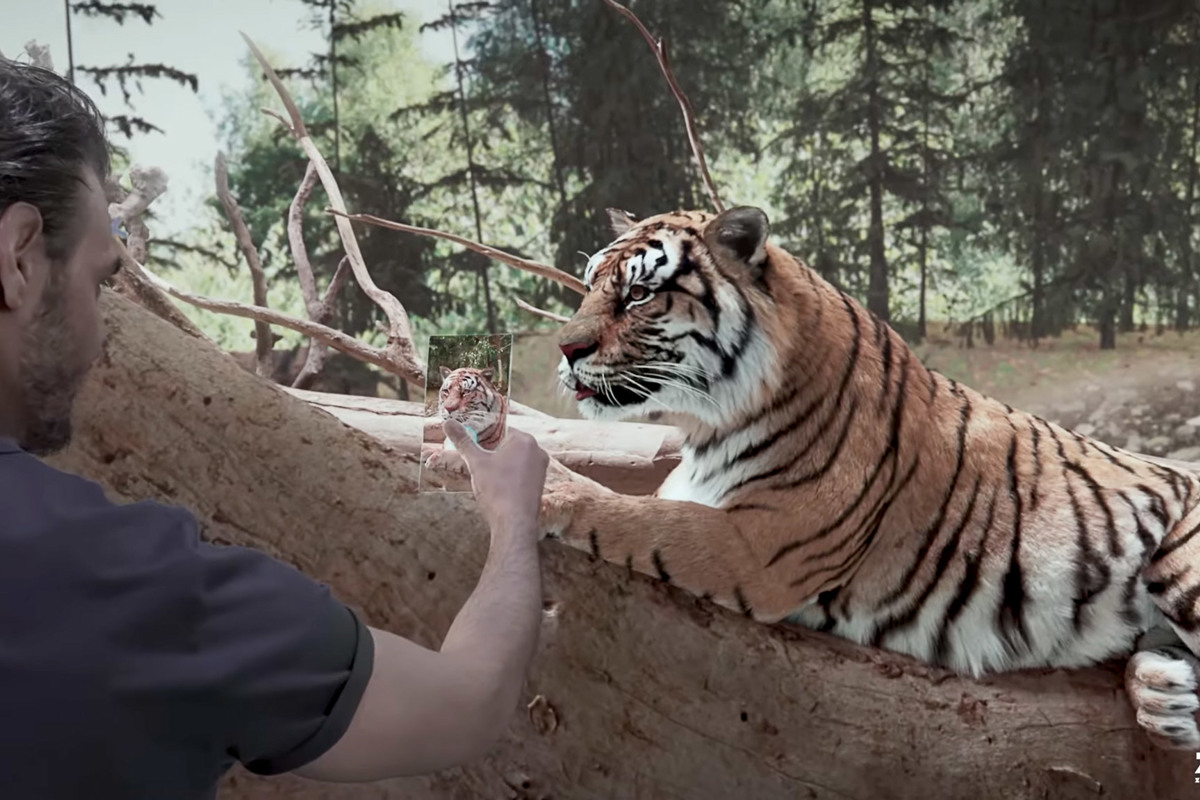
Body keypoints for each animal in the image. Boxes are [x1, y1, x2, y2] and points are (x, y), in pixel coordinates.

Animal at [540, 201, 1200, 753]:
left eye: (639, 294)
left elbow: (640, 516)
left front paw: (549, 486)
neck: (707, 426)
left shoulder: (756, 548)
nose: (565, 349)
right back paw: (1164, 691)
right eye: (589, 286)